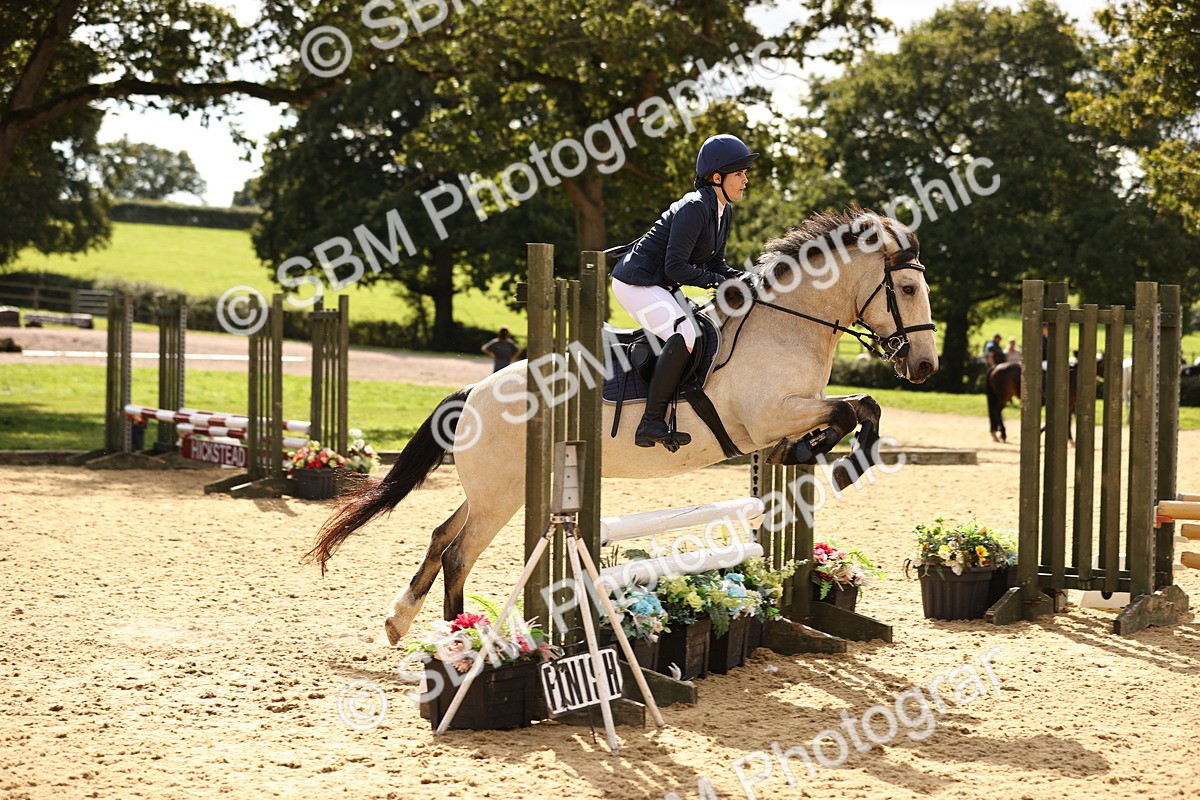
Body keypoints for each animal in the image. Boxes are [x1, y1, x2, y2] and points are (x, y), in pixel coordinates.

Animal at [306, 209, 940, 644]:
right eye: (908, 288)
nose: (925, 367)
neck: (785, 324)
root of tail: (474, 391)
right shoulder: (769, 414)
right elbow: (849, 410)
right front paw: (832, 457)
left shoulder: (789, 412)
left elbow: (860, 407)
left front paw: (817, 454)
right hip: (504, 494)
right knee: (460, 552)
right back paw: (460, 639)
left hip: (498, 489)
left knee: (442, 536)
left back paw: (403, 621)